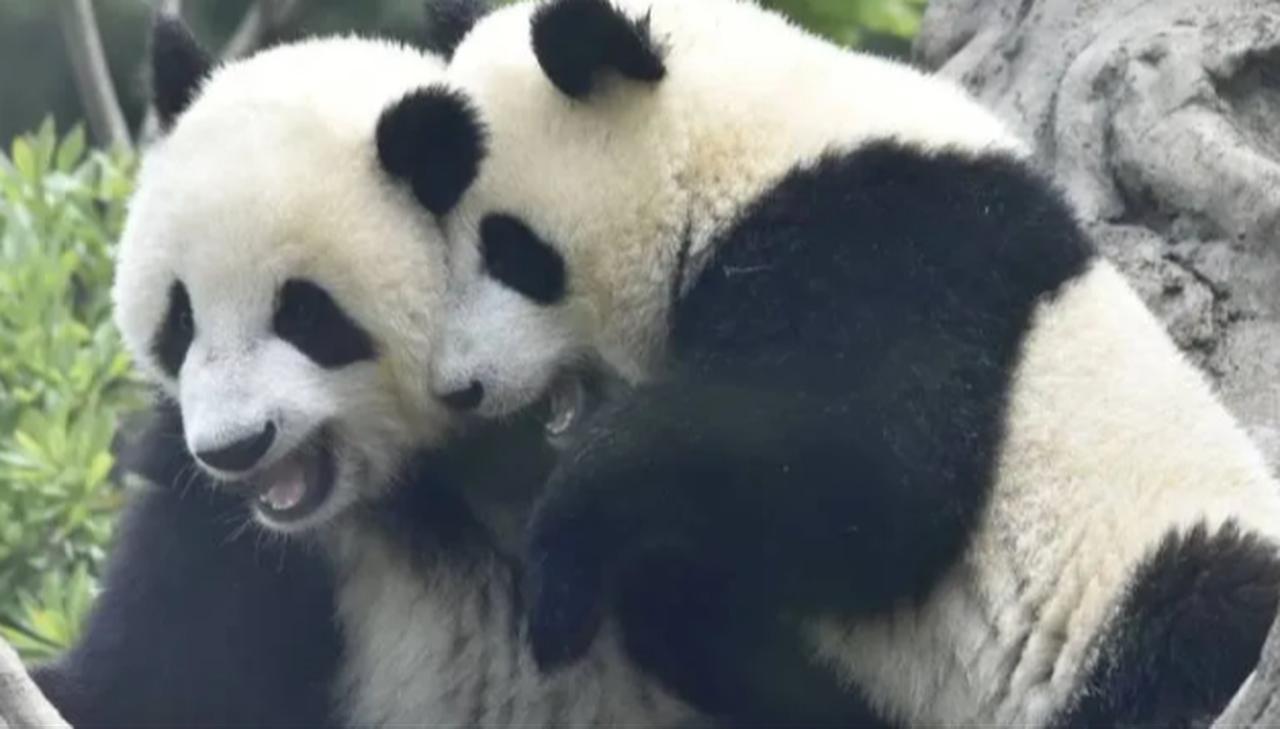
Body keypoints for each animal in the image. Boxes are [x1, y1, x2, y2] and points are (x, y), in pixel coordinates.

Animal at [372, 0, 1280, 725]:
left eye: (510, 250)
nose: (460, 386)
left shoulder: (898, 236)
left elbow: (881, 474)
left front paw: (561, 567)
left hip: (1152, 580)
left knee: (1194, 611)